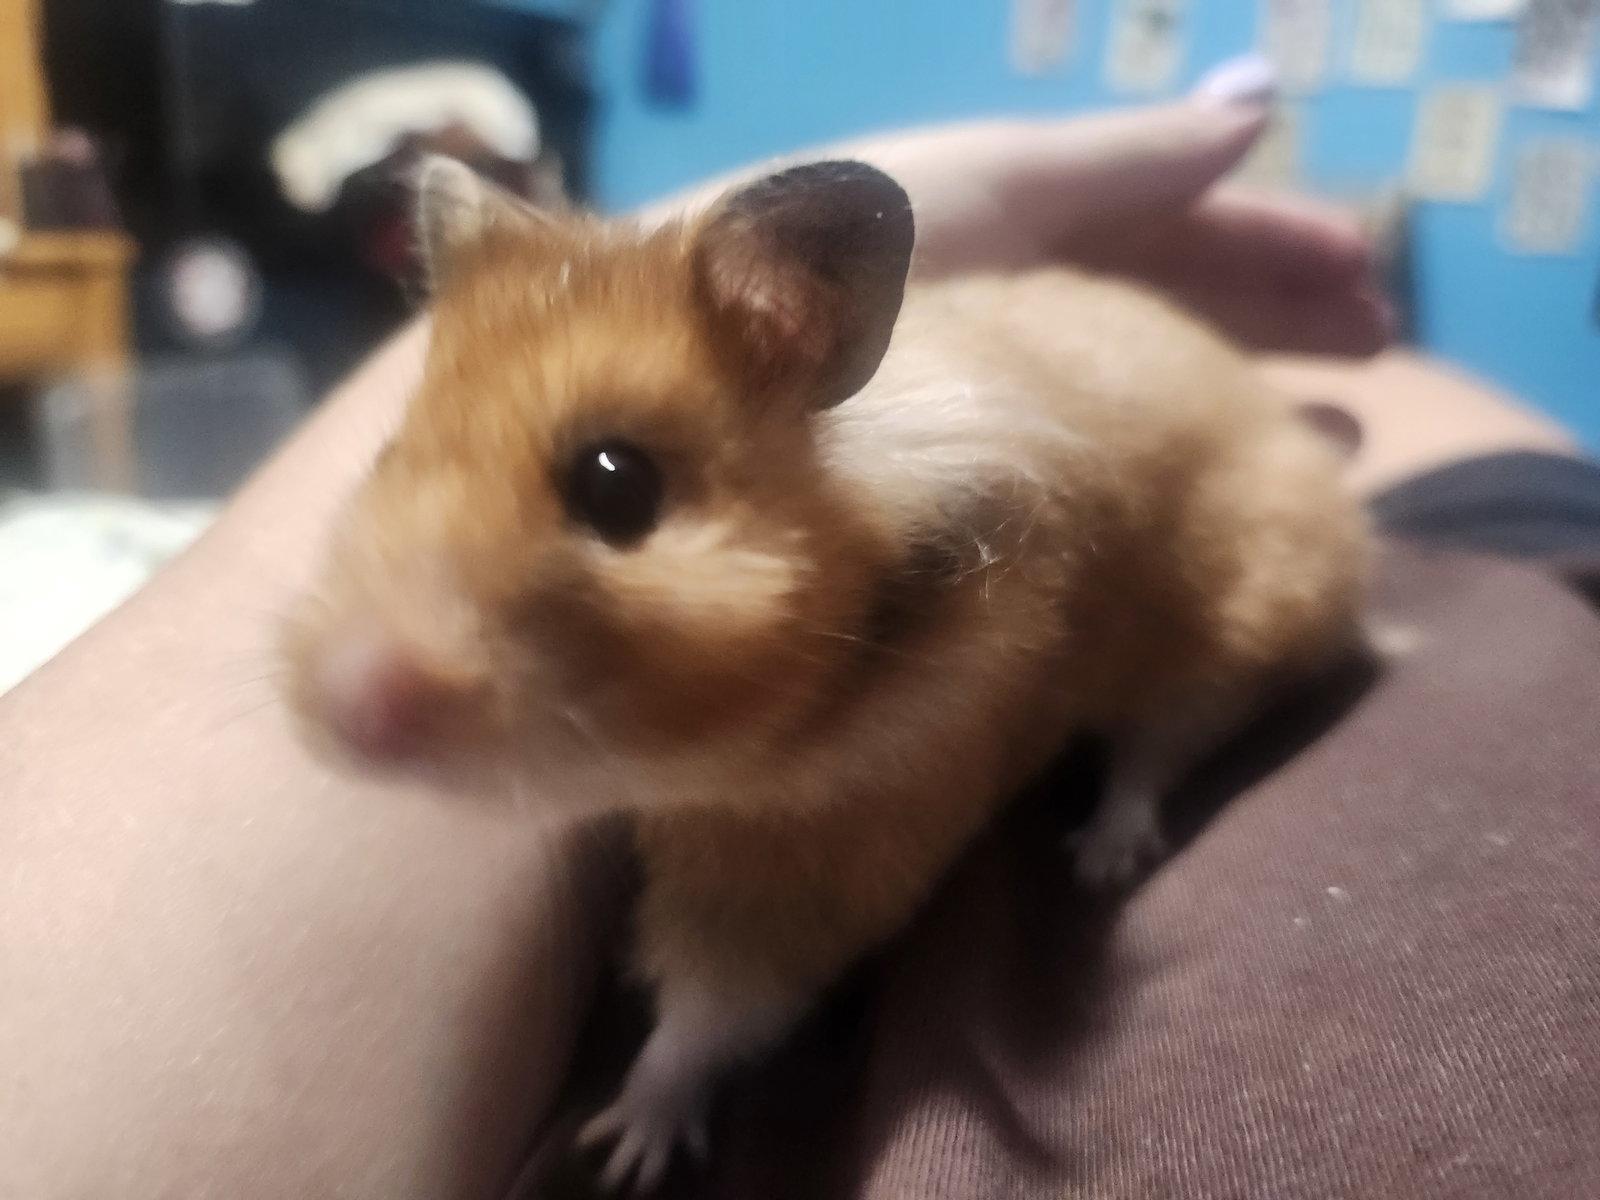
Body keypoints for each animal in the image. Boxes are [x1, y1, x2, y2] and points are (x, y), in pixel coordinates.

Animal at [281, 156, 1368, 1191]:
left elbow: (711, 1009)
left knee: (1164, 743)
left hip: (1235, 614)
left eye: (617, 483)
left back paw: (1102, 855)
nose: (346, 710)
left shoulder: (825, 848)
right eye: (388, 457)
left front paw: (620, 1152)